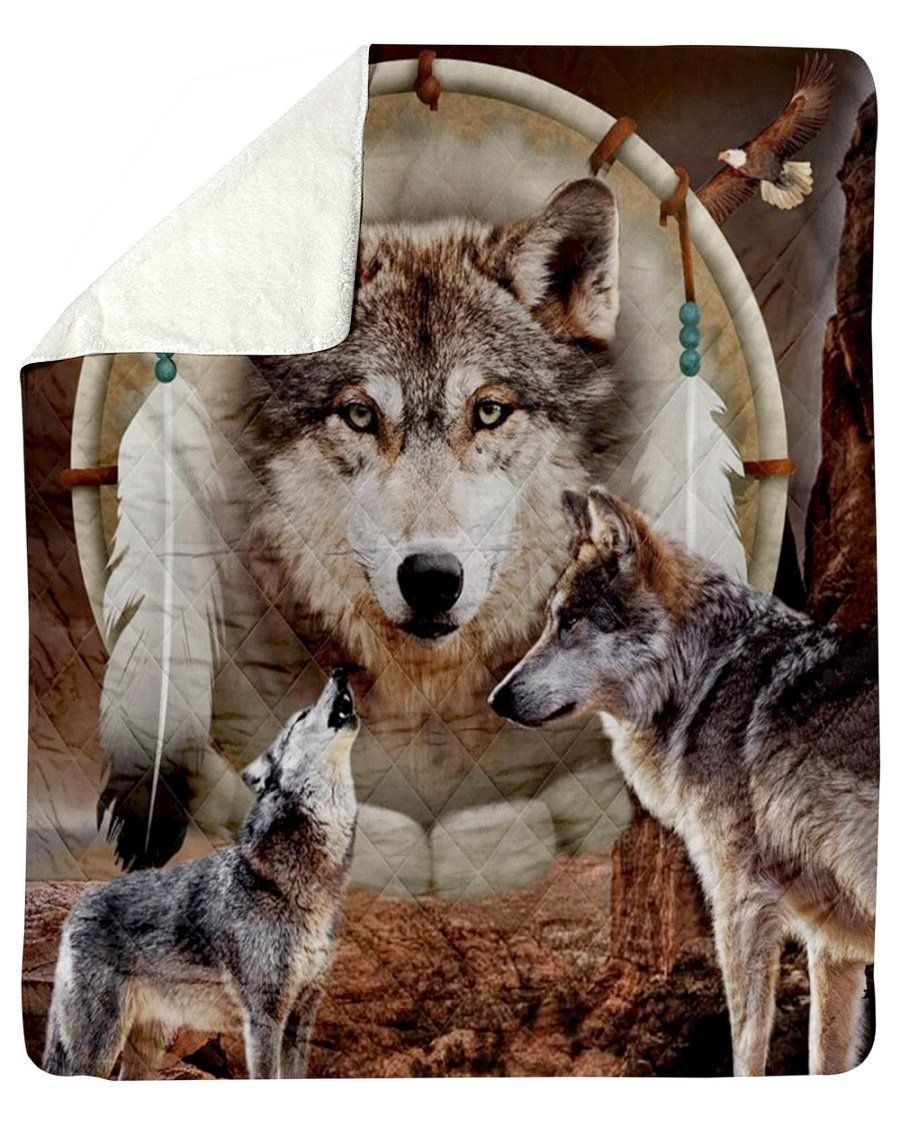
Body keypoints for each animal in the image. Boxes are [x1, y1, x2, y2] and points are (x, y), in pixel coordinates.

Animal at [43, 669, 358, 1080]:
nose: (340, 672)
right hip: (96, 1049)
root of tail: (79, 904)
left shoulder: (303, 1014)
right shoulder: (265, 1016)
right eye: (302, 717)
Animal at [490, 487, 878, 1075]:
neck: (705, 677)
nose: (497, 698)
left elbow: (747, 1052)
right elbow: (823, 1059)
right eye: (552, 621)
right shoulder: (833, 944)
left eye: (570, 620)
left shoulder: (741, 906)